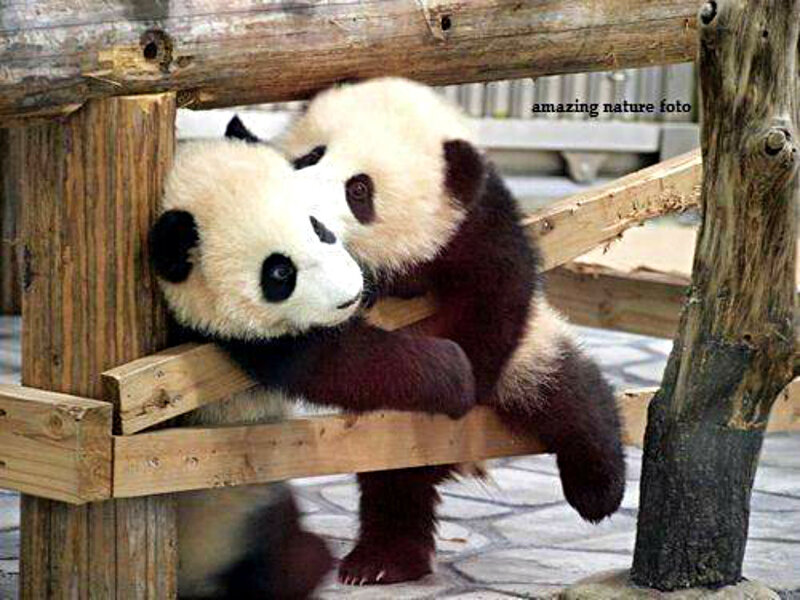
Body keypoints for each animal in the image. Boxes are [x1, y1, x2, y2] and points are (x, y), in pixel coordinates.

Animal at [149, 140, 478, 597]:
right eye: (279, 272)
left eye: (319, 227)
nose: (349, 292)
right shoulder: (243, 345)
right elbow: (346, 366)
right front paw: (455, 373)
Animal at [227, 76, 626, 585]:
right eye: (311, 155)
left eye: (360, 190)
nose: (301, 206)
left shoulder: (477, 226)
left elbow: (495, 299)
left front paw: (464, 385)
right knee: (393, 482)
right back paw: (383, 560)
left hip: (533, 353)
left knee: (574, 398)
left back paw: (597, 491)